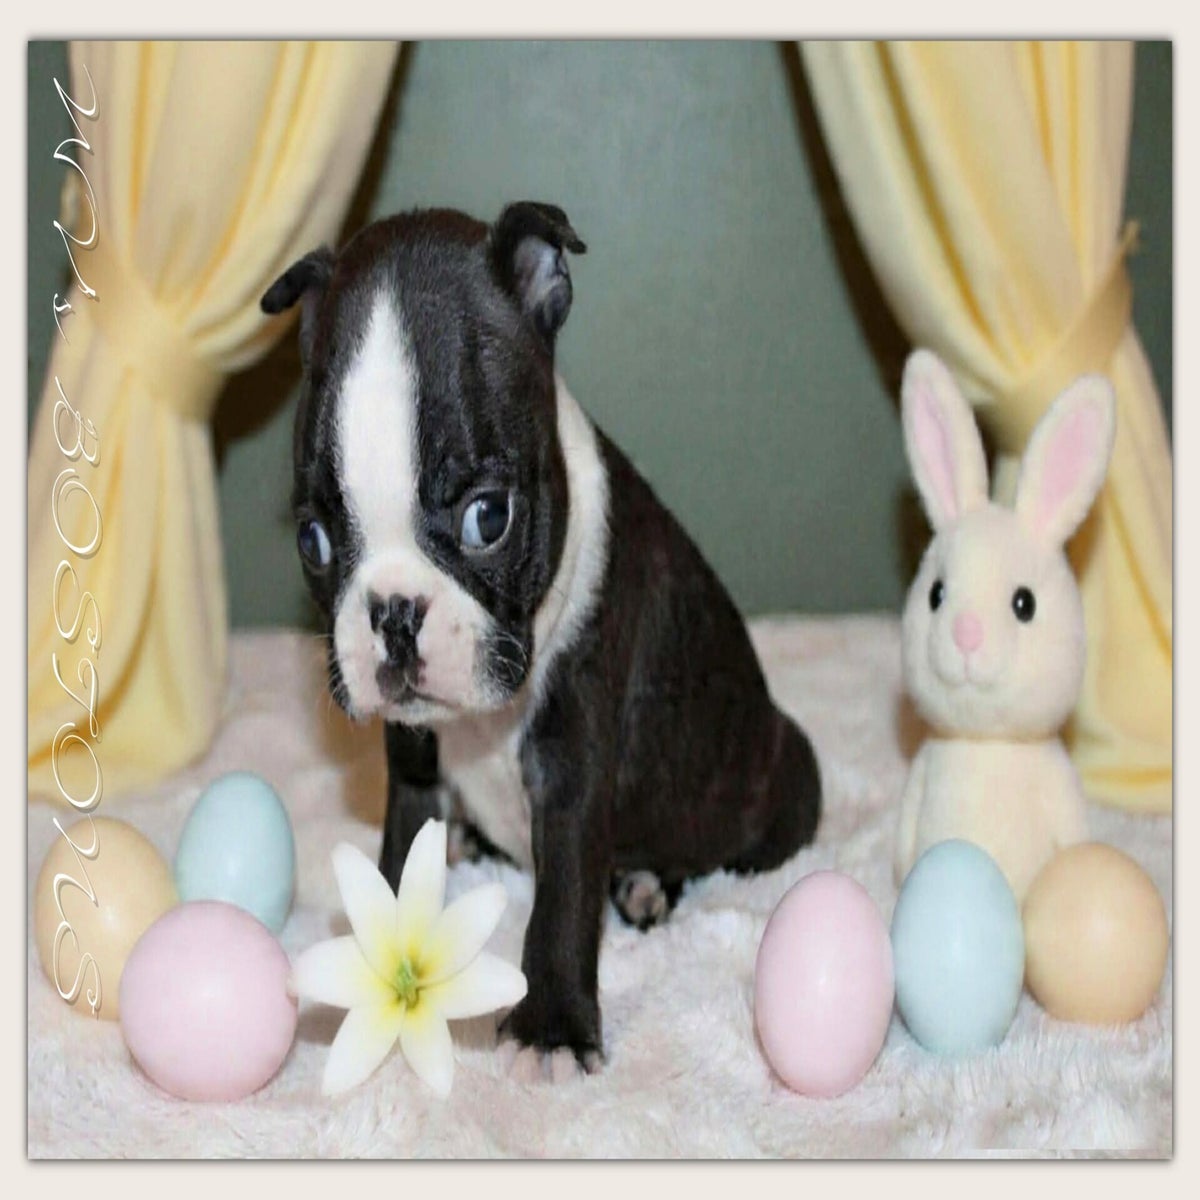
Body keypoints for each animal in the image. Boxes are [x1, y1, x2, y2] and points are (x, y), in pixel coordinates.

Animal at [261, 201, 821, 1072]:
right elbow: (400, 847)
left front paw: (553, 1027)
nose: (393, 611)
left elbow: (563, 893)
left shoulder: (571, 760)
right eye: (312, 539)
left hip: (775, 783)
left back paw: (647, 882)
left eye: (488, 516)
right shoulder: (414, 755)